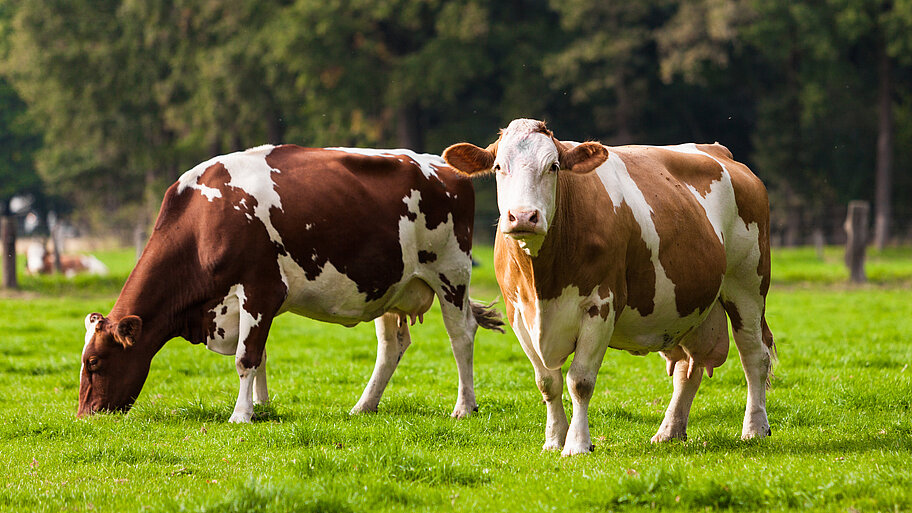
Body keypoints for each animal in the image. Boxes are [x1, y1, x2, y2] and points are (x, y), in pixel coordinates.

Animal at [76, 143, 506, 420]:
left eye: (95, 362)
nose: (85, 416)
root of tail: (446, 166)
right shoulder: (248, 304)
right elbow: (261, 353)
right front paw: (262, 406)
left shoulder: (260, 289)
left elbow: (246, 357)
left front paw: (242, 415)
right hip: (390, 286)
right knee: (392, 347)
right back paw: (364, 406)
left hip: (451, 273)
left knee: (461, 335)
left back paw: (464, 407)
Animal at [446, 119, 772, 456]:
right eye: (499, 166)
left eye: (553, 166)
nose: (523, 216)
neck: (542, 284)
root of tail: (719, 151)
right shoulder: (519, 315)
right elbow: (547, 382)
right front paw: (553, 440)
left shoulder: (601, 306)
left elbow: (580, 381)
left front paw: (577, 444)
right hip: (689, 307)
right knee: (689, 367)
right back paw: (669, 431)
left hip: (748, 285)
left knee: (754, 355)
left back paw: (755, 428)